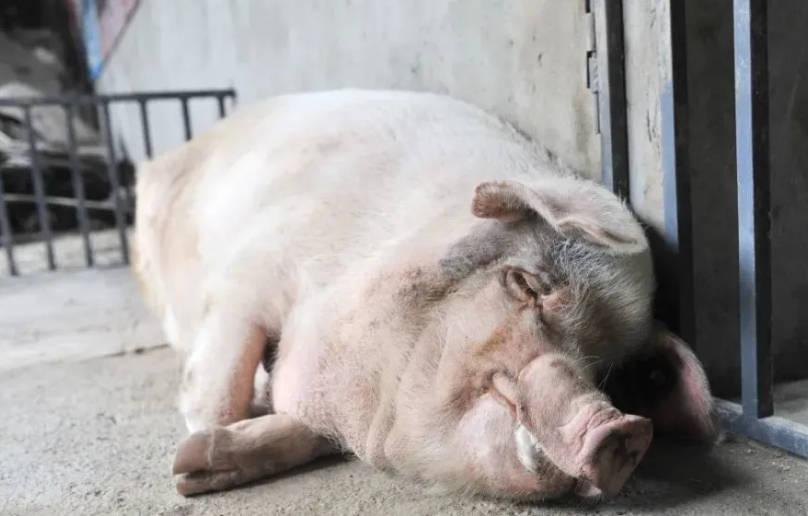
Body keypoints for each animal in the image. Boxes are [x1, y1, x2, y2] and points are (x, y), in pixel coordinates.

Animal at [134, 90, 712, 502]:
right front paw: (186, 471)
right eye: (527, 285)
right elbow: (218, 396)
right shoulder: (248, 276)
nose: (620, 430)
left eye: (609, 370)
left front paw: (196, 463)